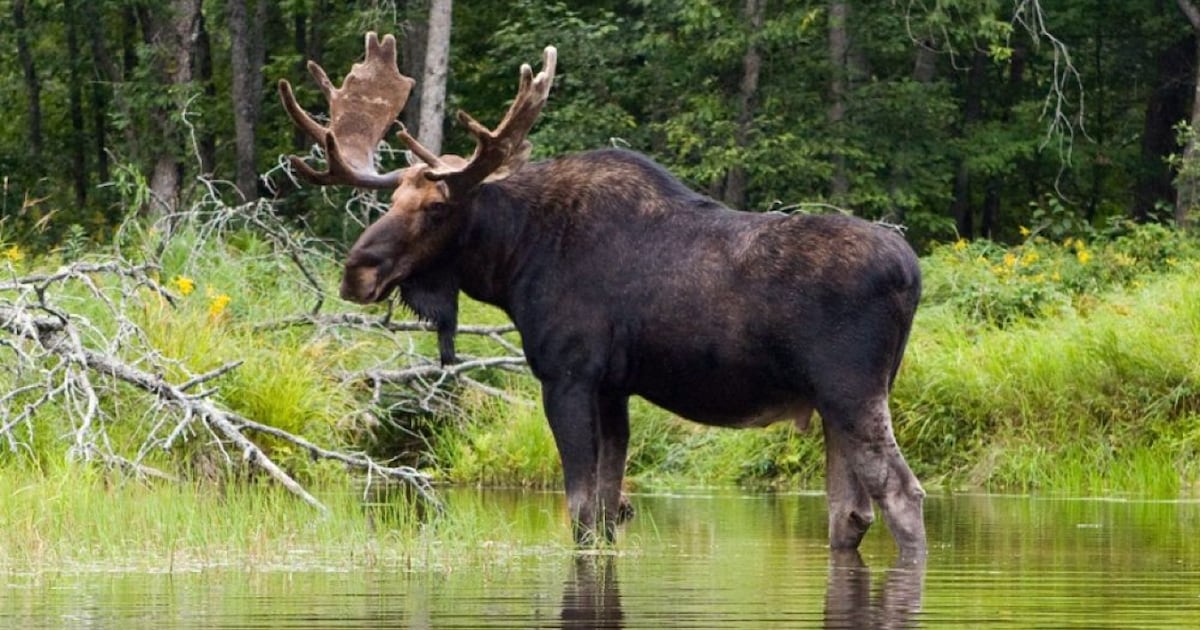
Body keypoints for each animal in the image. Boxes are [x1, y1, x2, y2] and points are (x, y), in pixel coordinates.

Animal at [278, 33, 927, 559]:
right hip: (838, 404)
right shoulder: (616, 387)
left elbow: (583, 513)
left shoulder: (568, 375)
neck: (513, 260)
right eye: (391, 201)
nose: (356, 271)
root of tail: (913, 274)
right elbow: (610, 512)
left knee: (903, 496)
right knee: (850, 514)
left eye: (437, 208)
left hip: (850, 391)